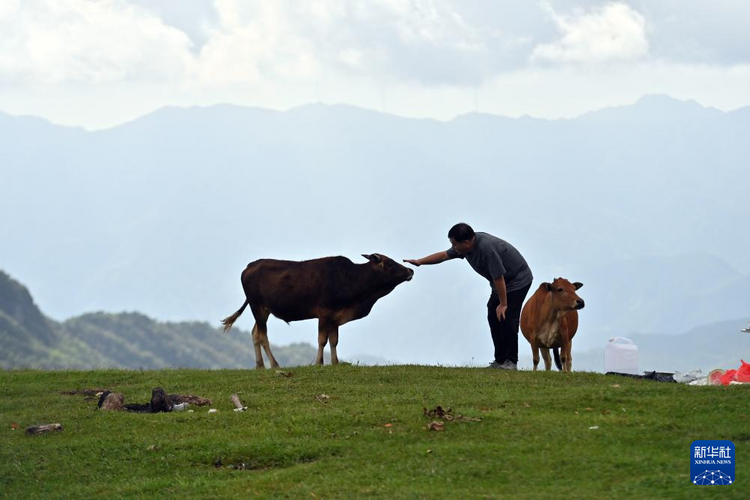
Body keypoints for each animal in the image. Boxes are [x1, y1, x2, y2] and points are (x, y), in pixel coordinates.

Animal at [223, 254, 414, 368]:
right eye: (390, 263)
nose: (410, 270)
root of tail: (248, 267)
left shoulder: (335, 317)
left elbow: (334, 341)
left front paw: (335, 362)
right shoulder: (324, 313)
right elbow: (322, 340)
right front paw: (319, 363)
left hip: (264, 309)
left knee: (255, 333)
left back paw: (260, 365)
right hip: (257, 306)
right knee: (262, 336)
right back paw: (274, 364)